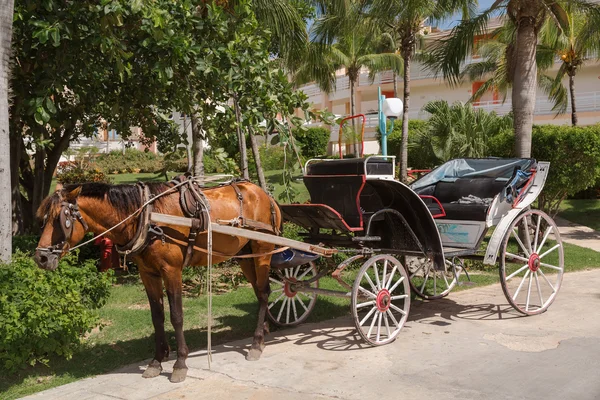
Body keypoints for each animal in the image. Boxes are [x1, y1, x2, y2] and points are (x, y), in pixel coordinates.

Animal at [34, 180, 282, 382]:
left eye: (62, 220)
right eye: (44, 219)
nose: (41, 258)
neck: (147, 216)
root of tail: (264, 194)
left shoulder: (171, 271)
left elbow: (177, 316)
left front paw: (180, 363)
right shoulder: (148, 273)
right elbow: (157, 317)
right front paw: (157, 360)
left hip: (263, 250)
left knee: (263, 292)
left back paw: (256, 342)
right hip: (245, 255)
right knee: (259, 291)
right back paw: (264, 330)